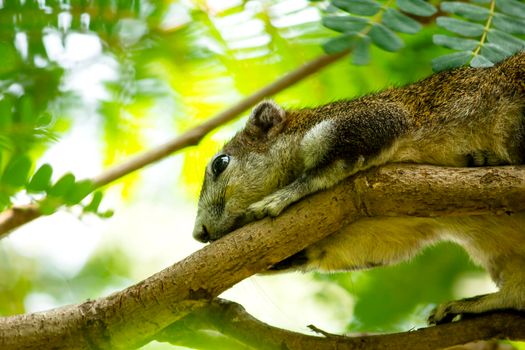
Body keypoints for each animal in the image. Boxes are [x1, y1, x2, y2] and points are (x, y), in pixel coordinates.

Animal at [192, 52, 524, 326]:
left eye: (221, 163)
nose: (199, 233)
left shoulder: (370, 119)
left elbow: (324, 168)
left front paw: (283, 196)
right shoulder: (376, 228)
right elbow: (354, 247)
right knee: (516, 295)